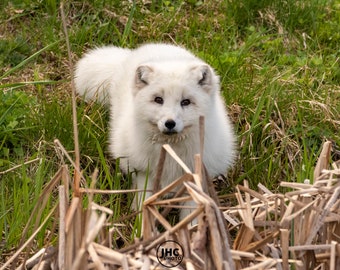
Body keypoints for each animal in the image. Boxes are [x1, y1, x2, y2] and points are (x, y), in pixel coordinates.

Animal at [74, 43, 235, 210]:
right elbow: (144, 201)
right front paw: (140, 216)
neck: (170, 151)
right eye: (158, 100)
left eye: (186, 102)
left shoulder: (193, 177)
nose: (169, 123)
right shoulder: (144, 172)